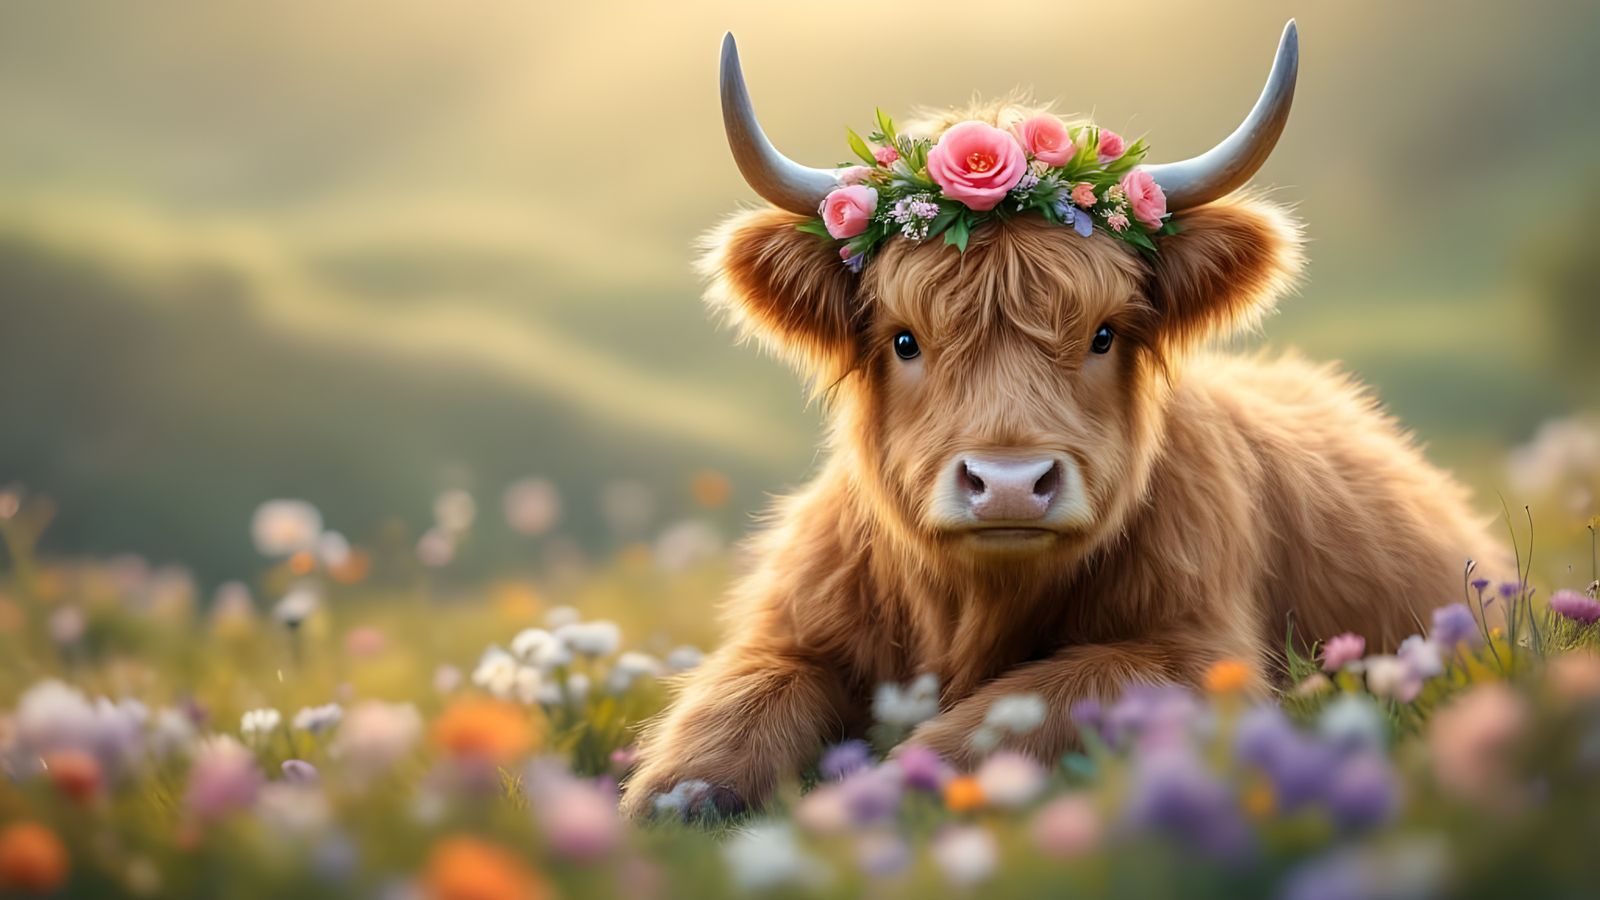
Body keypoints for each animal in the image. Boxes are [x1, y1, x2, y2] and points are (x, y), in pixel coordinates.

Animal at [619, 22, 1499, 820]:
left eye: (1104, 334)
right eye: (904, 339)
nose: (1009, 484)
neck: (980, 604)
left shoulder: (1199, 655)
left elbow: (1026, 707)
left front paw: (871, 790)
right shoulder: (794, 634)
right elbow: (732, 712)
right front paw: (675, 803)